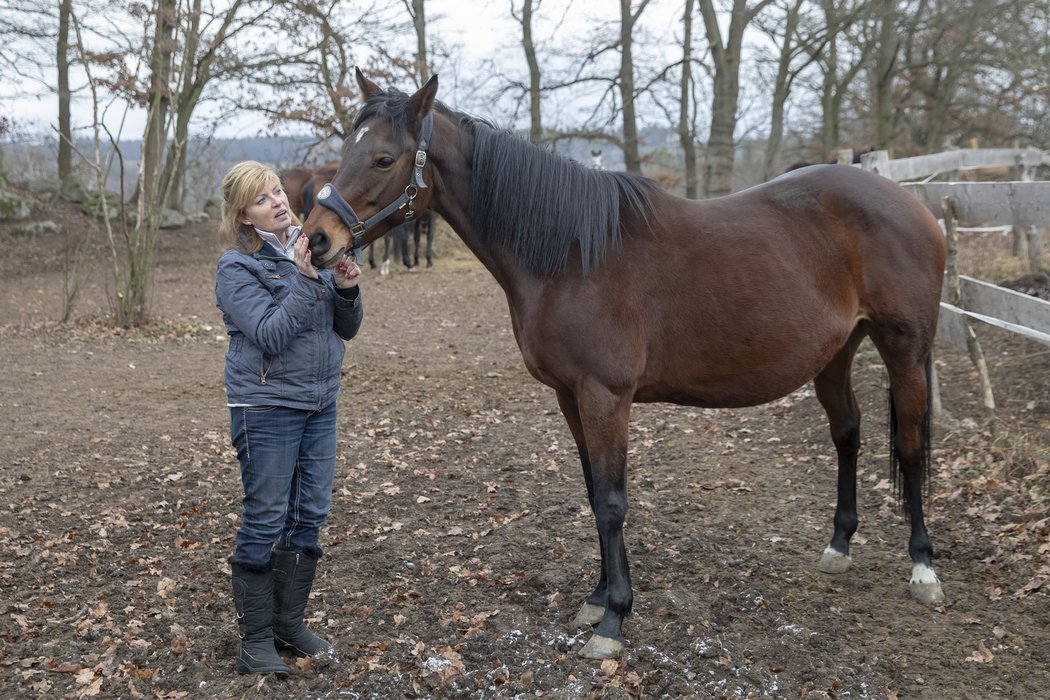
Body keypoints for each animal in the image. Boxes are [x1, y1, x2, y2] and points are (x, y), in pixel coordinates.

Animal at [304, 68, 953, 659]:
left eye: (383, 158)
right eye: (347, 151)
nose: (316, 239)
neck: (572, 253)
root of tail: (912, 202)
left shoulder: (605, 395)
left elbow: (614, 502)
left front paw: (614, 620)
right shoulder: (569, 395)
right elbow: (595, 494)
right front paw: (595, 599)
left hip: (904, 348)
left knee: (910, 444)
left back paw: (923, 567)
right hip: (836, 352)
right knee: (848, 434)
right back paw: (839, 546)